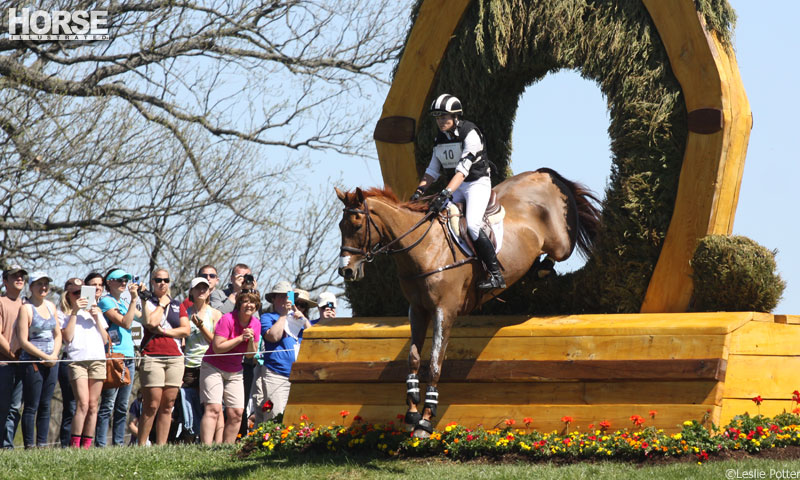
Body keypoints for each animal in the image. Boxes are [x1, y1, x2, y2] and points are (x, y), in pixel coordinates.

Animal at [332, 168, 600, 438]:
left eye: (357, 225)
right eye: (340, 226)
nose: (346, 271)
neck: (424, 248)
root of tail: (543, 173)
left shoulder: (444, 311)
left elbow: (435, 363)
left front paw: (426, 420)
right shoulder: (417, 310)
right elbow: (414, 358)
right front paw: (412, 413)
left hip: (560, 243)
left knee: (561, 251)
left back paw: (539, 268)